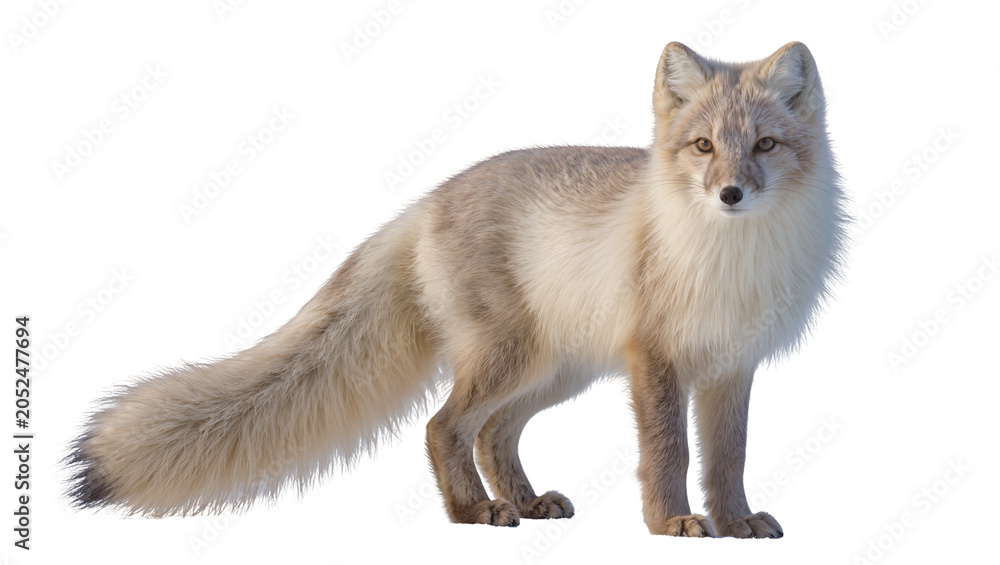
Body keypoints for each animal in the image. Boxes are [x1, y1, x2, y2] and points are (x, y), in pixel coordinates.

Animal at [67, 41, 846, 538]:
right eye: (704, 146)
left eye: (765, 145)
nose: (731, 193)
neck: (732, 258)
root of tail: (430, 197)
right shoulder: (656, 361)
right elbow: (669, 454)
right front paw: (670, 523)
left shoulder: (730, 367)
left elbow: (728, 457)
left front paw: (735, 522)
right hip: (512, 360)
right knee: (443, 427)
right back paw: (474, 514)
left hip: (550, 372)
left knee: (494, 431)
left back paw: (525, 503)